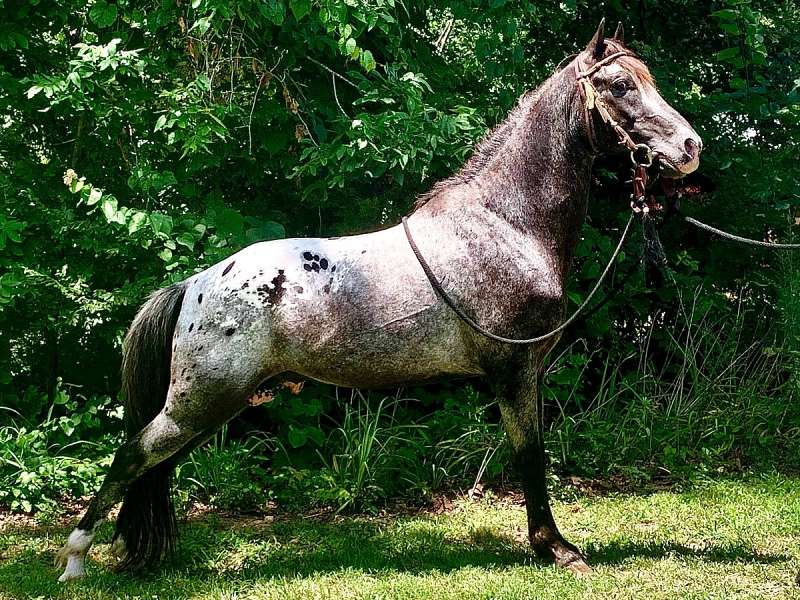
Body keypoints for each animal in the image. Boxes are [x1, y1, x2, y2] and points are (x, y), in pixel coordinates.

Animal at [54, 21, 700, 580]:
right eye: (620, 86)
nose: (690, 147)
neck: (504, 223)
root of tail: (194, 285)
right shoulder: (515, 370)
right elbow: (530, 455)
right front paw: (556, 549)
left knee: (152, 463)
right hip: (201, 402)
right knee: (133, 456)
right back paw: (75, 559)